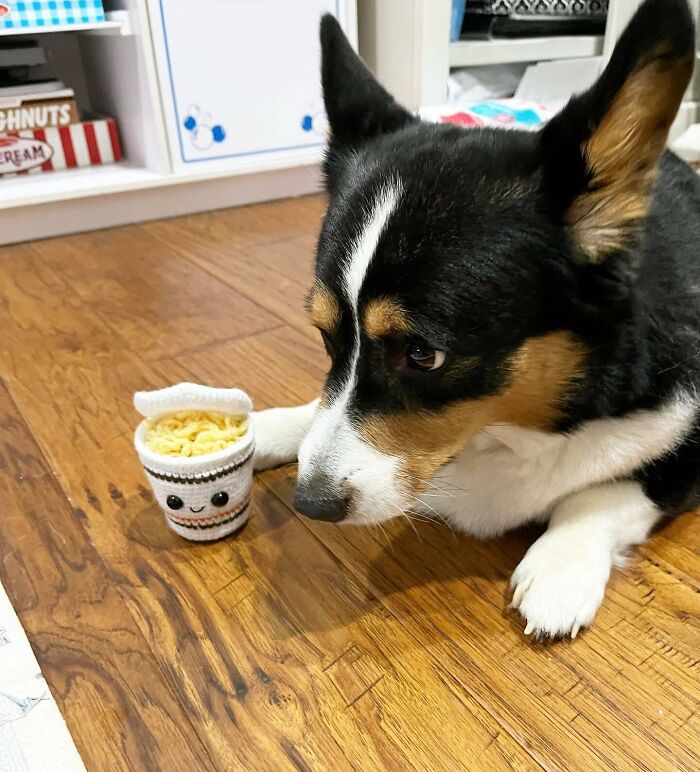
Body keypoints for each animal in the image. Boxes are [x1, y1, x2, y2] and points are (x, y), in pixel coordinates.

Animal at [252, 0, 700, 640]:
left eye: (424, 354)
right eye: (324, 335)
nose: (310, 506)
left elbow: (604, 493)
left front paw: (560, 568)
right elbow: (322, 404)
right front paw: (273, 425)